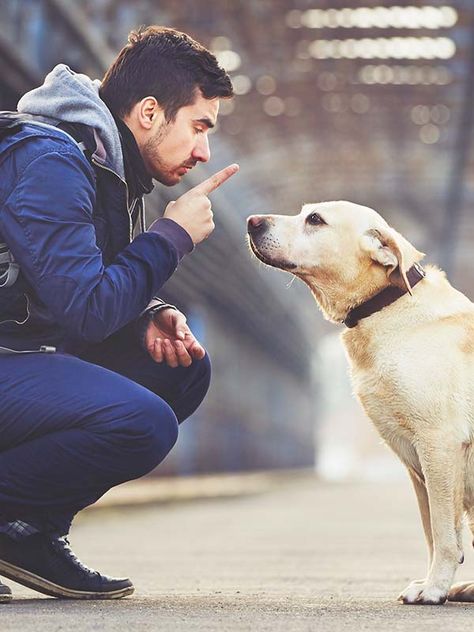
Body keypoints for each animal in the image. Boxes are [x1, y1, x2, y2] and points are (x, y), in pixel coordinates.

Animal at [246, 202, 474, 608]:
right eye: (304, 212)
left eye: (315, 220)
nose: (251, 222)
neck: (386, 307)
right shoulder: (418, 464)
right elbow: (431, 531)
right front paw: (432, 582)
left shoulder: (439, 444)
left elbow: (443, 534)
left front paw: (434, 588)